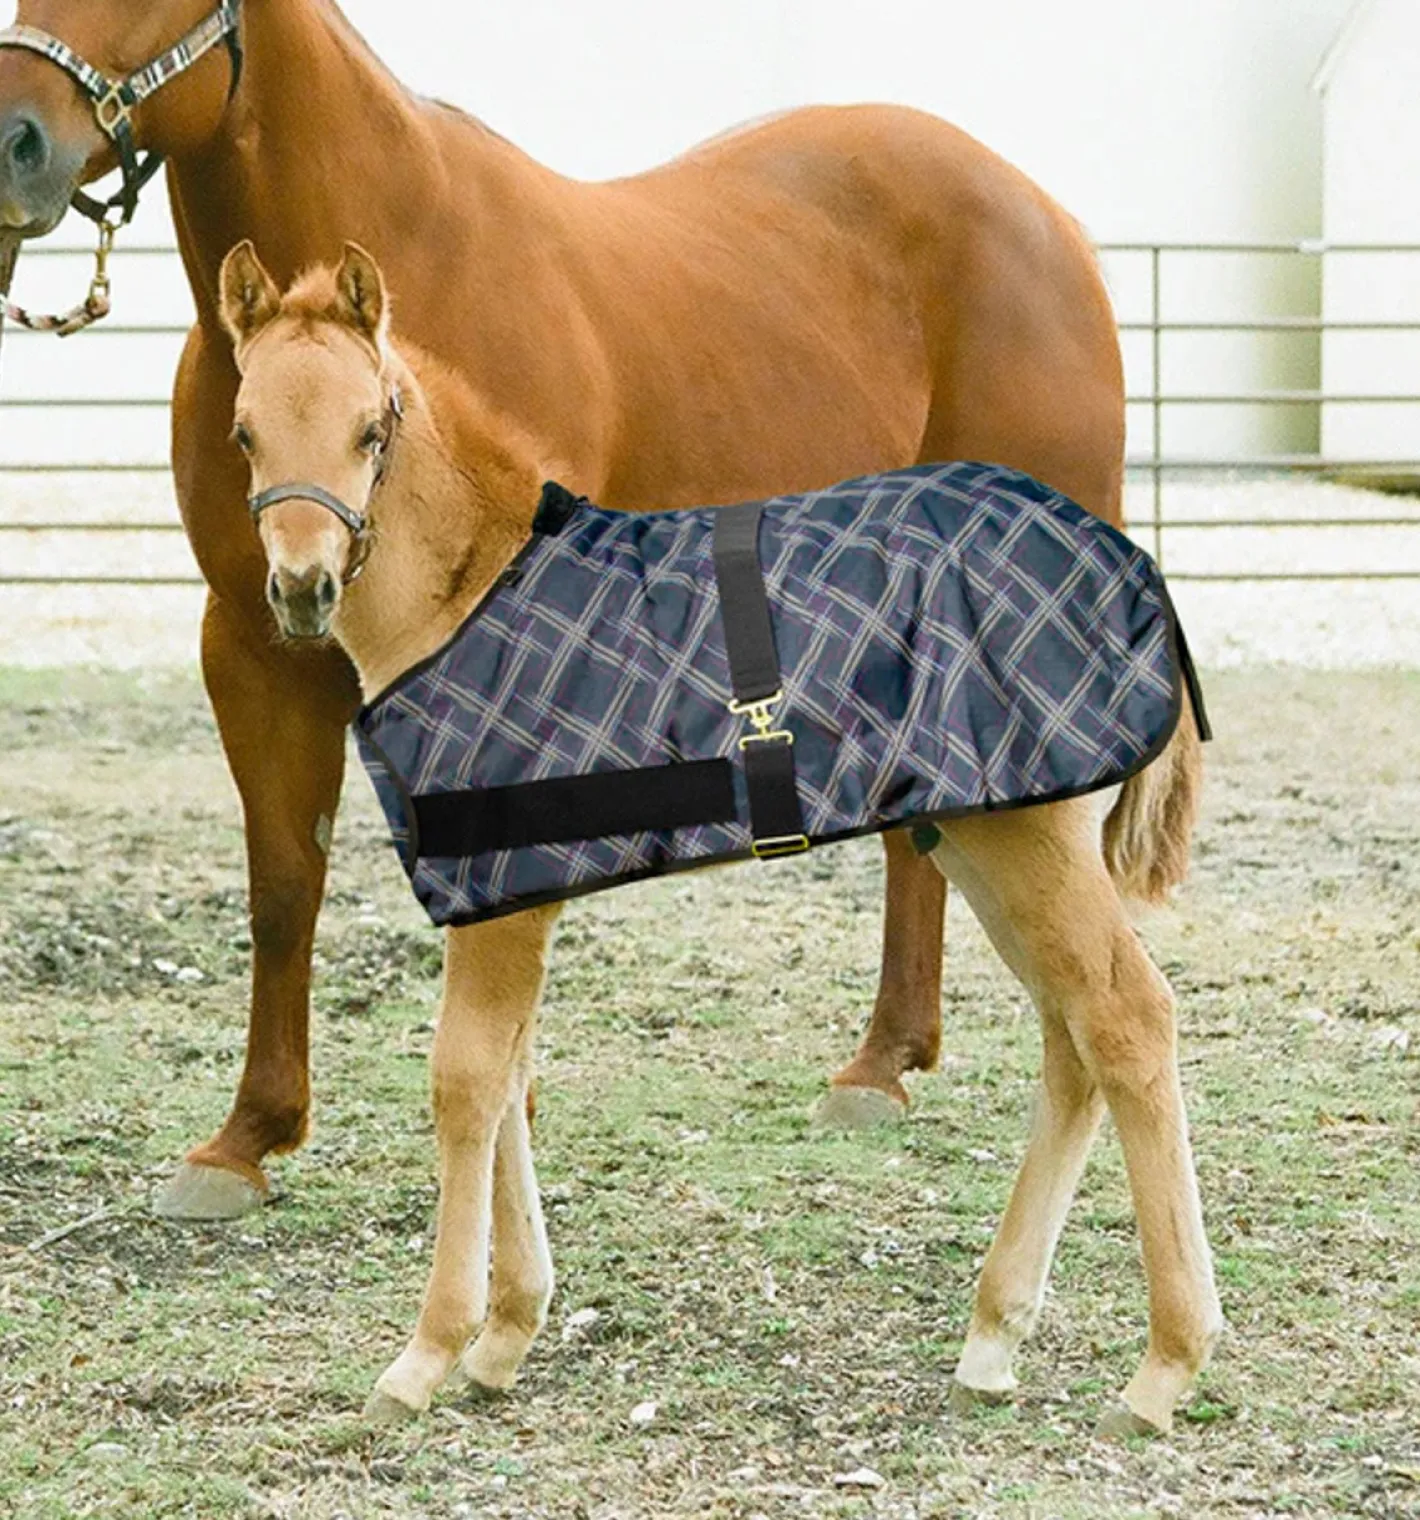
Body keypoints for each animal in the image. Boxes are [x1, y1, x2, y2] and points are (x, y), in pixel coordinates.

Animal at [0, 0, 1129, 1221]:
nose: (14, 141)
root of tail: (1048, 219)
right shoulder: (254, 646)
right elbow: (284, 884)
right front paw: (247, 1136)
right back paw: (883, 1061)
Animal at [216, 239, 1219, 1437]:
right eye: (244, 431)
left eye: (372, 429)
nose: (303, 590)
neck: (470, 591)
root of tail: (1128, 558)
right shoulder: (510, 891)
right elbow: (510, 1079)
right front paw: (508, 1332)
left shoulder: (496, 895)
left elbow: (465, 1082)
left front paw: (427, 1352)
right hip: (985, 834)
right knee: (1072, 1035)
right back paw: (993, 1335)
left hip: (1029, 839)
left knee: (1126, 1018)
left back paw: (1164, 1366)